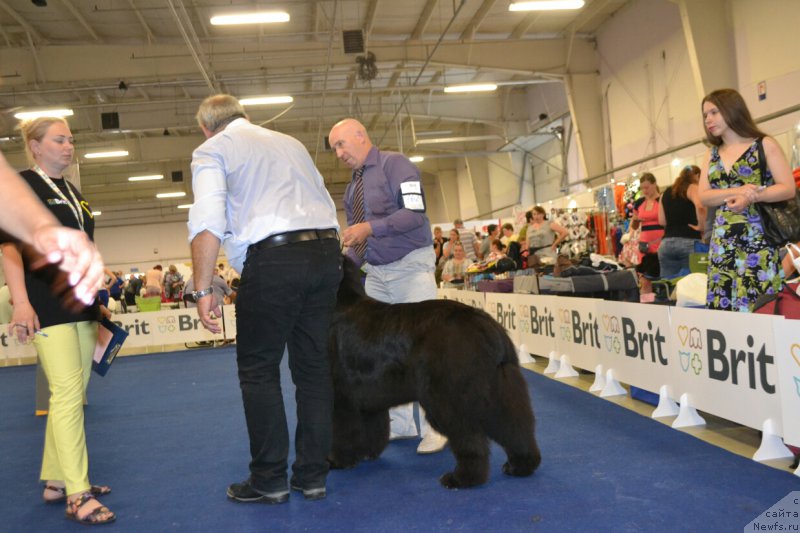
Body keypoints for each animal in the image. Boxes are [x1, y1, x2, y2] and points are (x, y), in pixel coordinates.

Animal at [326, 256, 544, 486]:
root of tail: (485, 323)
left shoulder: (341, 394)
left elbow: (342, 431)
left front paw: (338, 460)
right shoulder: (369, 396)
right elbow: (372, 427)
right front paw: (367, 453)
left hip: (448, 396)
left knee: (470, 435)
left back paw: (462, 478)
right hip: (497, 389)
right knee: (514, 426)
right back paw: (521, 465)